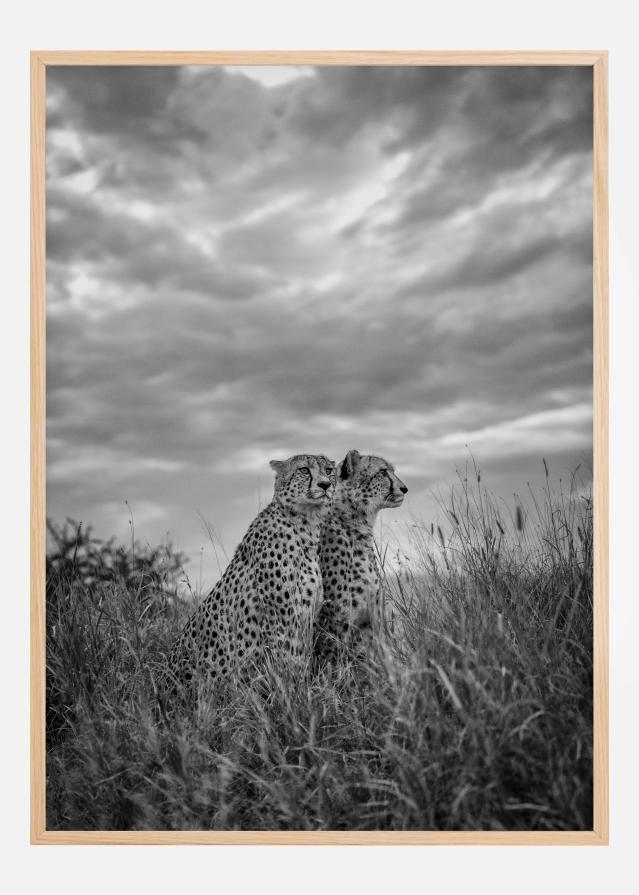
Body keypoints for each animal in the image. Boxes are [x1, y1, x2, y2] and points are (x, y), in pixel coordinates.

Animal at [165, 453, 336, 693]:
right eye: (304, 470)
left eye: (329, 470)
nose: (325, 484)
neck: (305, 524)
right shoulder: (281, 620)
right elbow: (288, 662)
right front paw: (293, 694)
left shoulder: (305, 616)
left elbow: (301, 657)